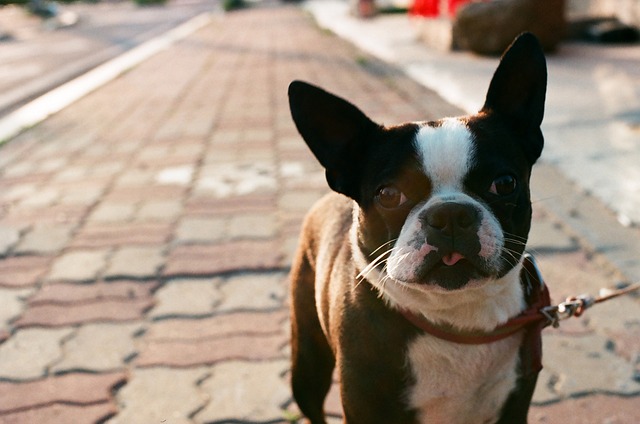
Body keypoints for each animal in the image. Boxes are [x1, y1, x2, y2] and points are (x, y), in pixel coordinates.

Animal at [288, 31, 544, 422]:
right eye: (389, 194)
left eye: (504, 184)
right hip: (307, 363)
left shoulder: (513, 407)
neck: (456, 321)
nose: (450, 214)